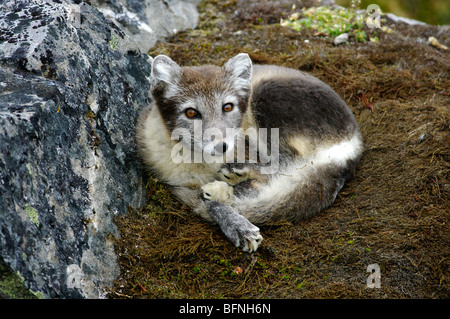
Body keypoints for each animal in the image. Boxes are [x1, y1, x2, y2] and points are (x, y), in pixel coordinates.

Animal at [135, 53, 364, 252]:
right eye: (191, 113)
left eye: (227, 107)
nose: (222, 146)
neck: (198, 164)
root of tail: (354, 141)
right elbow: (209, 201)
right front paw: (235, 223)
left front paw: (237, 222)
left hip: (266, 98)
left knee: (284, 166)